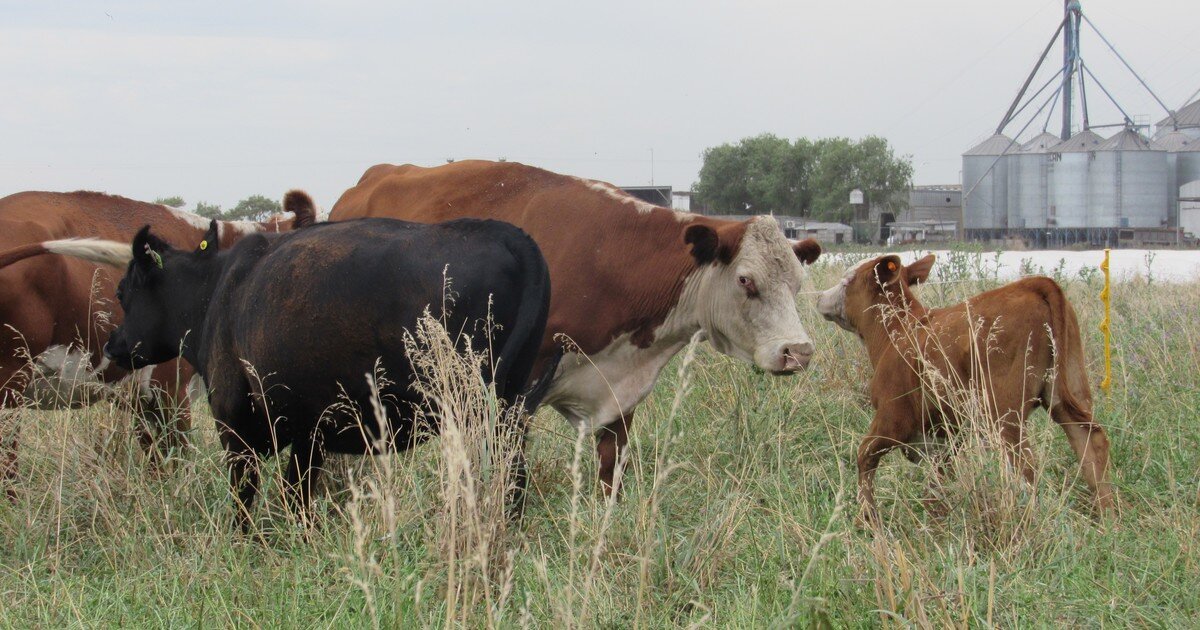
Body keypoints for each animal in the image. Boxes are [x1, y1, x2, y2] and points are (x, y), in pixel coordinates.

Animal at [77, 191, 554, 529]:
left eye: (123, 291)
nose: (113, 345)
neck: (216, 293)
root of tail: (505, 234)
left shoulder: (235, 427)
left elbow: (246, 499)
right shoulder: (311, 434)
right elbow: (298, 497)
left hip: (474, 403)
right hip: (508, 406)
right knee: (514, 474)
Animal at [330, 160, 822, 493]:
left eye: (798, 283)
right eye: (746, 280)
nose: (798, 351)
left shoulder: (619, 393)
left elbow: (611, 470)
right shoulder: (514, 394)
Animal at [815, 254, 1115, 525]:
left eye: (847, 280)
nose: (819, 297)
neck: (898, 332)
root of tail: (1033, 285)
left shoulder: (892, 416)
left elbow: (865, 455)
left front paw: (867, 518)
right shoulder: (945, 433)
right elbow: (939, 479)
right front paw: (935, 520)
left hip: (1003, 412)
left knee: (1025, 465)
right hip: (1067, 389)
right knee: (1090, 440)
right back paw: (1106, 517)